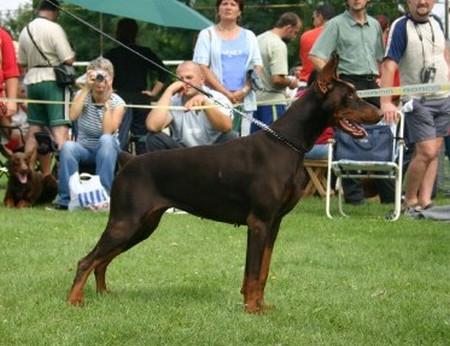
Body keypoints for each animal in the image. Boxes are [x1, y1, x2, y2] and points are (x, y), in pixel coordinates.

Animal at [68, 56, 382, 314]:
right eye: (350, 96)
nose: (380, 114)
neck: (287, 144)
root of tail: (129, 159)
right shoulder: (259, 221)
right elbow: (253, 272)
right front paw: (252, 309)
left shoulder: (274, 223)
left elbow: (263, 270)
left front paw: (260, 305)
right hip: (126, 221)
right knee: (87, 260)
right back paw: (75, 300)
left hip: (143, 225)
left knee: (102, 260)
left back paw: (104, 293)